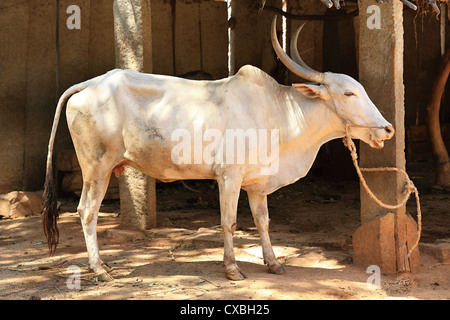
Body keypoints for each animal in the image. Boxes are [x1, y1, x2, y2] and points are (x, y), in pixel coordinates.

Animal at [43, 16, 394, 282]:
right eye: (349, 94)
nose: (387, 129)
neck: (279, 113)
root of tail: (91, 84)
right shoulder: (229, 177)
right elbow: (230, 222)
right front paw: (232, 268)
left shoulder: (257, 183)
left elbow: (263, 222)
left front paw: (273, 263)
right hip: (96, 168)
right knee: (87, 211)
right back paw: (99, 269)